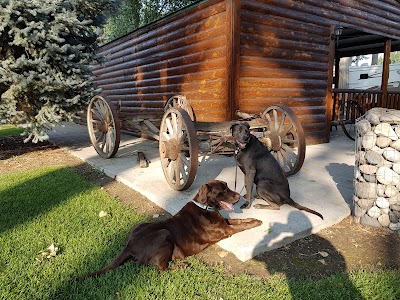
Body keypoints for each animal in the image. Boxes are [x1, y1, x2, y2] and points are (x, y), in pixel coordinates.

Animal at [74, 179, 262, 280]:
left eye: (227, 187)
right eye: (222, 191)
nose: (239, 196)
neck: (206, 207)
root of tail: (129, 245)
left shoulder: (225, 222)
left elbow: (240, 220)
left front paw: (254, 219)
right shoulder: (224, 231)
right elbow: (241, 225)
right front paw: (257, 223)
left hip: (140, 225)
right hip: (164, 234)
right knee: (159, 268)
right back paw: (181, 266)